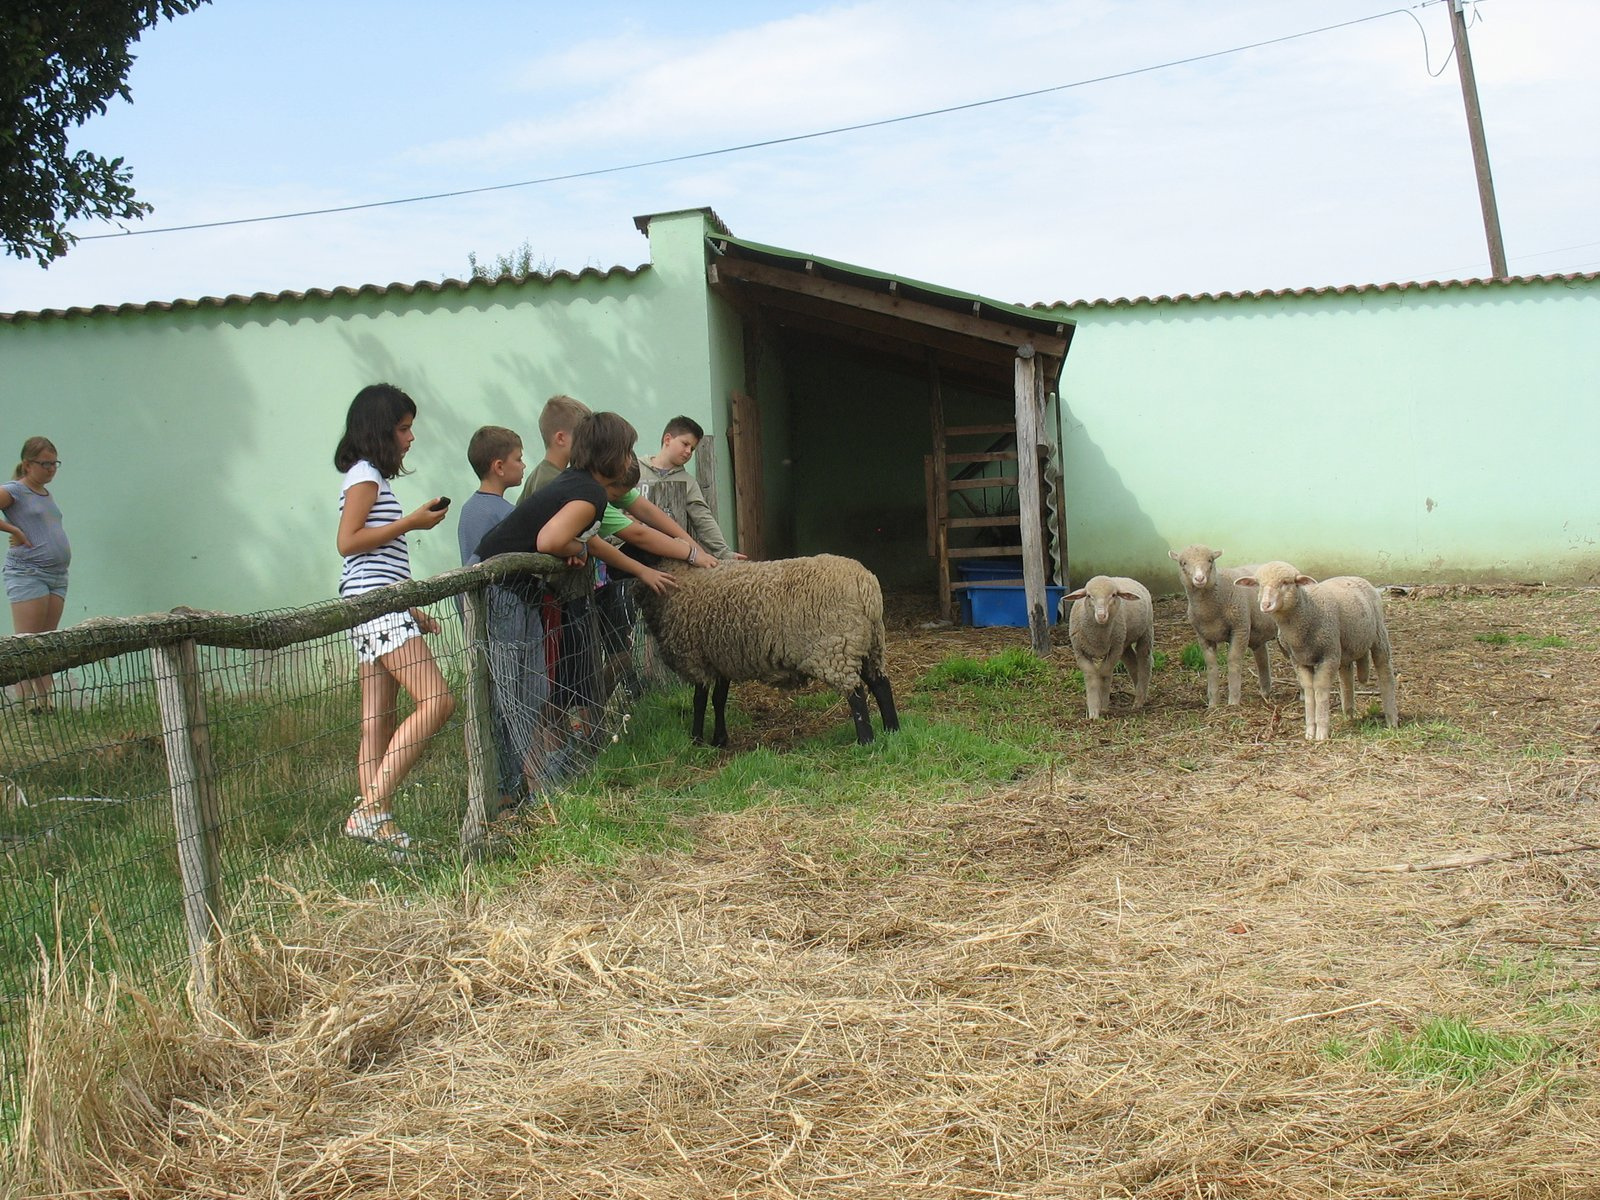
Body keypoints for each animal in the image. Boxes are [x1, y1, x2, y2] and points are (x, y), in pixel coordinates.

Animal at [1062, 576, 1152, 720]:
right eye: (1088, 595)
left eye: (1114, 595)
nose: (1101, 615)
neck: (1098, 638)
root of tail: (1125, 577)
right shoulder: (1080, 652)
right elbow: (1091, 677)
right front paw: (1093, 712)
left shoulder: (1114, 650)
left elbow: (1105, 673)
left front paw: (1103, 705)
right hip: (1124, 641)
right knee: (1132, 664)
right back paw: (1139, 691)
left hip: (1145, 632)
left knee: (1145, 661)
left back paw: (1139, 700)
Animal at [1171, 550, 1280, 710]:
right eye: (1183, 563)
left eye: (1210, 560)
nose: (1199, 578)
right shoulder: (1203, 636)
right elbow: (1211, 665)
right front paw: (1213, 703)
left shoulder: (1240, 628)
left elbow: (1233, 660)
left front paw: (1233, 701)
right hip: (1258, 635)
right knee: (1262, 659)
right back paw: (1265, 693)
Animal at [1228, 563, 1395, 742]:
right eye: (1259, 584)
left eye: (1286, 582)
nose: (1266, 605)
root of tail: (1355, 577)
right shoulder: (1299, 660)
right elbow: (1308, 690)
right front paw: (1309, 731)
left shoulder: (1327, 657)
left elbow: (1320, 689)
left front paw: (1321, 732)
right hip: (1344, 647)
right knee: (1346, 675)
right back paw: (1348, 715)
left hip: (1378, 636)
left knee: (1385, 671)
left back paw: (1392, 719)